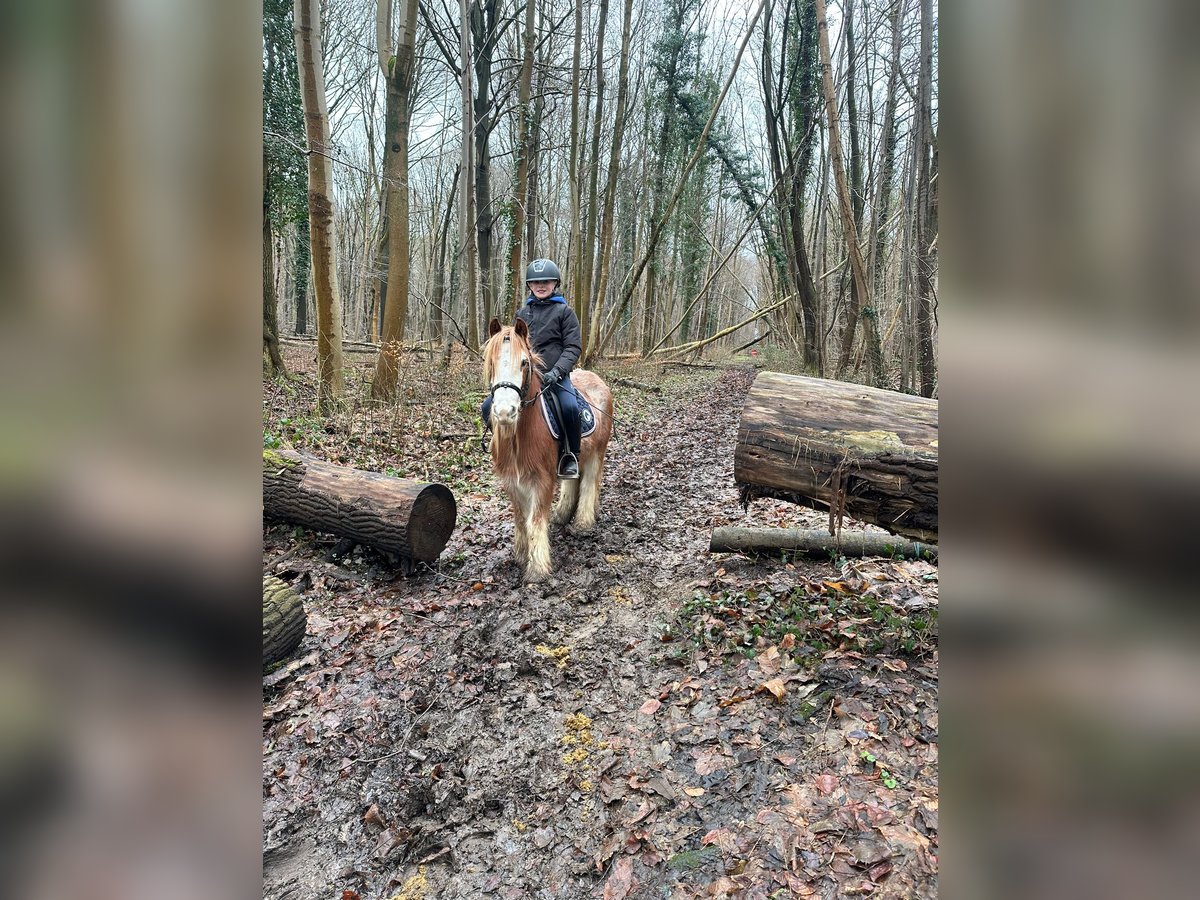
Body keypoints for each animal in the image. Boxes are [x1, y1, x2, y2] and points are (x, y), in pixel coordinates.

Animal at [480, 316, 614, 585]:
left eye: (524, 362)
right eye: (491, 362)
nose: (505, 412)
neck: (521, 434)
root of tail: (599, 382)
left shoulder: (541, 479)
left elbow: (534, 521)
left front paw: (537, 570)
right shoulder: (512, 481)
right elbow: (520, 519)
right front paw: (521, 556)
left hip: (597, 452)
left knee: (589, 483)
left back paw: (583, 522)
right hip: (577, 455)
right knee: (573, 480)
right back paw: (563, 515)